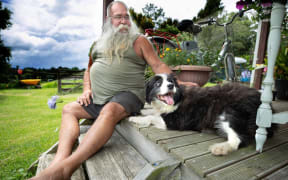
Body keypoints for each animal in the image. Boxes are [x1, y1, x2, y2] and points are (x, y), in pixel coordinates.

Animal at [129, 74, 276, 155]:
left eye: (170, 81)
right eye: (158, 83)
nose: (171, 85)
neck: (177, 97)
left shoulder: (176, 121)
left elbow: (152, 117)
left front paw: (135, 118)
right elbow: (153, 112)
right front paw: (142, 111)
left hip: (229, 112)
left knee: (238, 139)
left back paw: (220, 148)